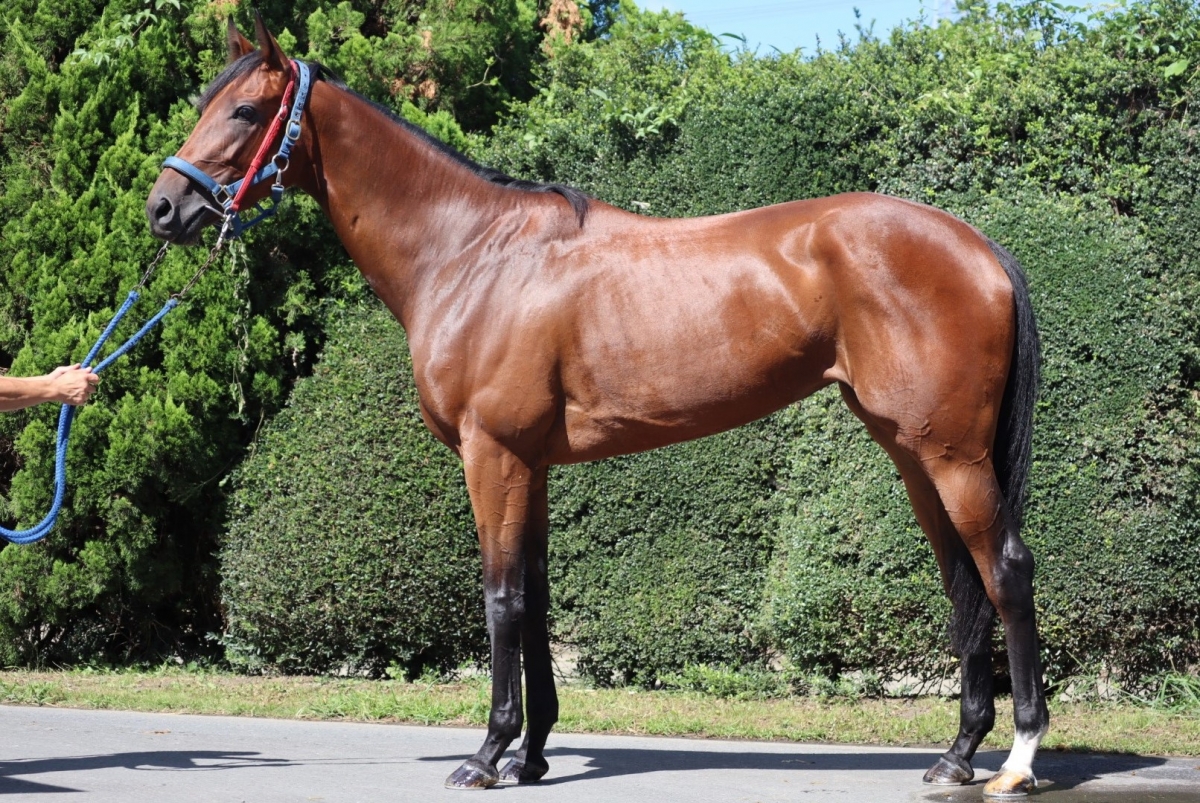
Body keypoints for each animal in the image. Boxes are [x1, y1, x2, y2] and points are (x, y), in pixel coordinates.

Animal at [146, 17, 1049, 797]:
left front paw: (487, 754)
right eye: (206, 105)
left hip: (952, 456)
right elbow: (536, 598)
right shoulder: (533, 464)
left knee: (1005, 569)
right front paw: (533, 754)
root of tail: (978, 246)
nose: (164, 208)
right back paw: (956, 753)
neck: (471, 252)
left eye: (245, 110)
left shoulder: (493, 454)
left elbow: (501, 598)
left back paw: (1017, 757)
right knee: (962, 579)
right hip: (913, 452)